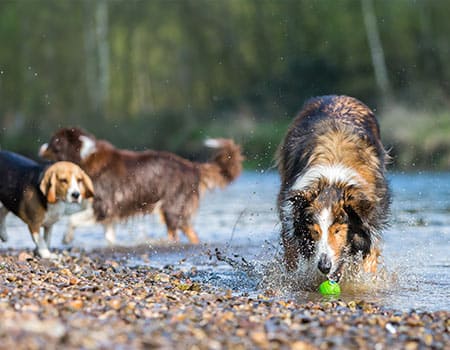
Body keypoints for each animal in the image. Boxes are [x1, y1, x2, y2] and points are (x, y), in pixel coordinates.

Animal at [39, 127, 243, 245]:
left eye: (54, 141)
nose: (40, 148)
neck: (83, 155)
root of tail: (192, 166)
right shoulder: (109, 216)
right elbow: (109, 237)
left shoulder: (104, 207)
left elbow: (73, 220)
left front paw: (66, 238)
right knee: (191, 234)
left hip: (172, 208)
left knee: (176, 234)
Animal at [276, 94, 388, 286]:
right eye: (315, 231)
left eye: (337, 230)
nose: (324, 266)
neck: (332, 179)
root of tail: (338, 96)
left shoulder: (371, 225)